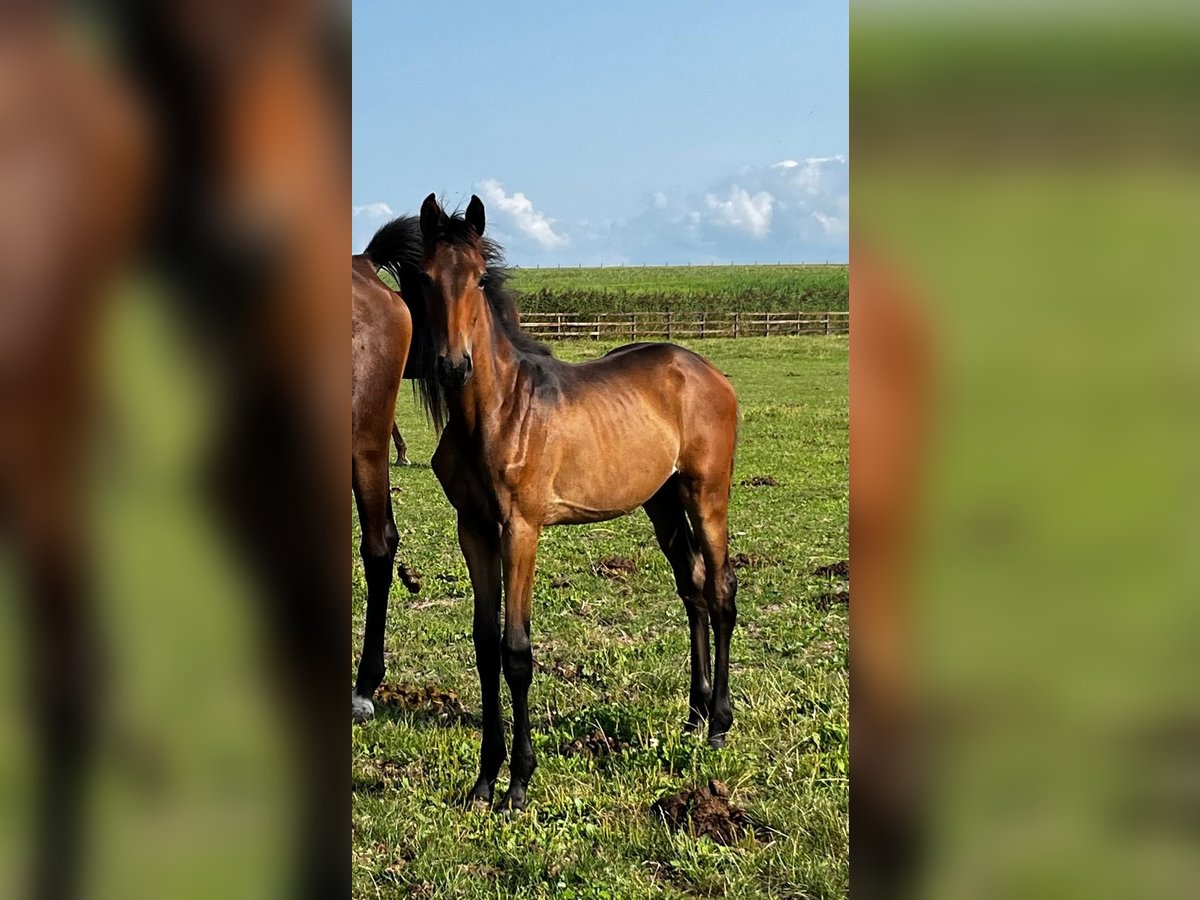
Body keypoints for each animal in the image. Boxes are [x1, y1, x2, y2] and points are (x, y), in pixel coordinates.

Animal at [374, 196, 734, 816]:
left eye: (480, 277)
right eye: (422, 278)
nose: (452, 366)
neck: (495, 412)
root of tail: (706, 371)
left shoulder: (521, 528)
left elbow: (516, 651)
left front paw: (518, 783)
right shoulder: (474, 529)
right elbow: (485, 645)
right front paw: (484, 780)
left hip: (706, 495)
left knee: (721, 591)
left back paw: (719, 724)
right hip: (663, 503)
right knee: (692, 589)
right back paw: (693, 717)